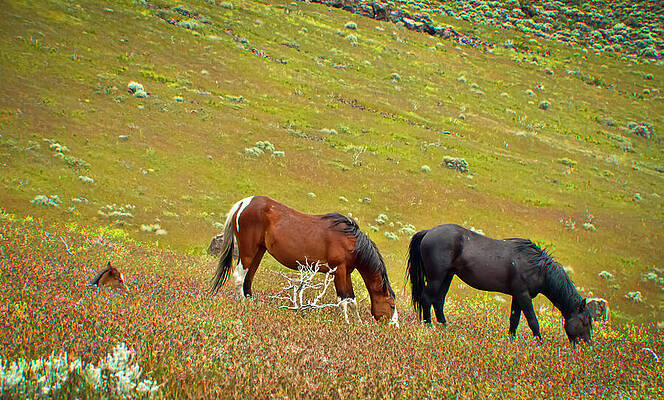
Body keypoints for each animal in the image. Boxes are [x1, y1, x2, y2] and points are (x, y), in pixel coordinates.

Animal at [211, 196, 398, 324]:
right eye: (392, 306)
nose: (394, 327)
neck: (351, 241)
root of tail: (244, 203)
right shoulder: (339, 271)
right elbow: (343, 300)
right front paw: (345, 322)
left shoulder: (347, 273)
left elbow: (351, 300)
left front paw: (357, 323)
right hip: (248, 251)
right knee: (239, 277)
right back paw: (242, 305)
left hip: (259, 251)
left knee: (248, 278)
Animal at [406, 224, 592, 344]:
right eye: (585, 322)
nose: (587, 345)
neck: (537, 268)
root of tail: (428, 232)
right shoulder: (523, 295)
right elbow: (532, 320)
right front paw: (540, 343)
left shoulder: (518, 296)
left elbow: (514, 319)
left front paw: (511, 340)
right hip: (436, 277)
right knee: (427, 298)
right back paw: (428, 325)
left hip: (447, 276)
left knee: (438, 301)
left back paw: (444, 326)